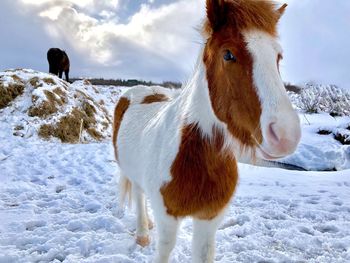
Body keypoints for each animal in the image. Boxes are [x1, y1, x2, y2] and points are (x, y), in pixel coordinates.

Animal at [112, 1, 300, 262]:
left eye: (277, 57)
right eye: (228, 54)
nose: (285, 135)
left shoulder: (208, 220)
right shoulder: (168, 219)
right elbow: (164, 249)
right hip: (130, 171)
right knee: (139, 195)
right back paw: (142, 234)